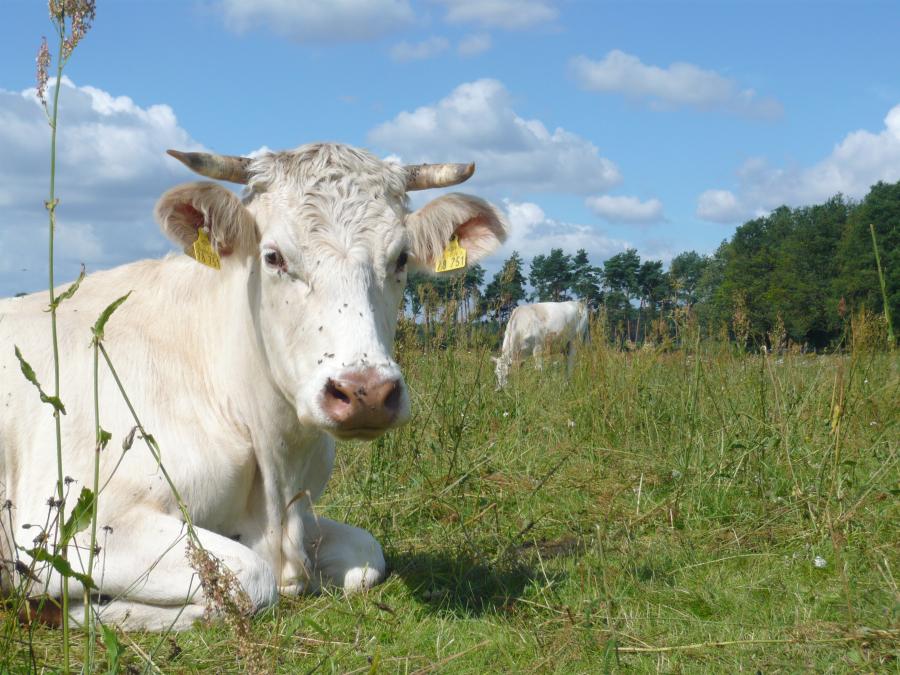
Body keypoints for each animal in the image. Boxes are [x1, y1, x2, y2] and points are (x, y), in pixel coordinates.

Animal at [0, 143, 506, 632]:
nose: (366, 393)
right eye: (274, 256)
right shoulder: (69, 528)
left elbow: (367, 556)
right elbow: (247, 579)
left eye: (400, 258)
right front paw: (67, 609)